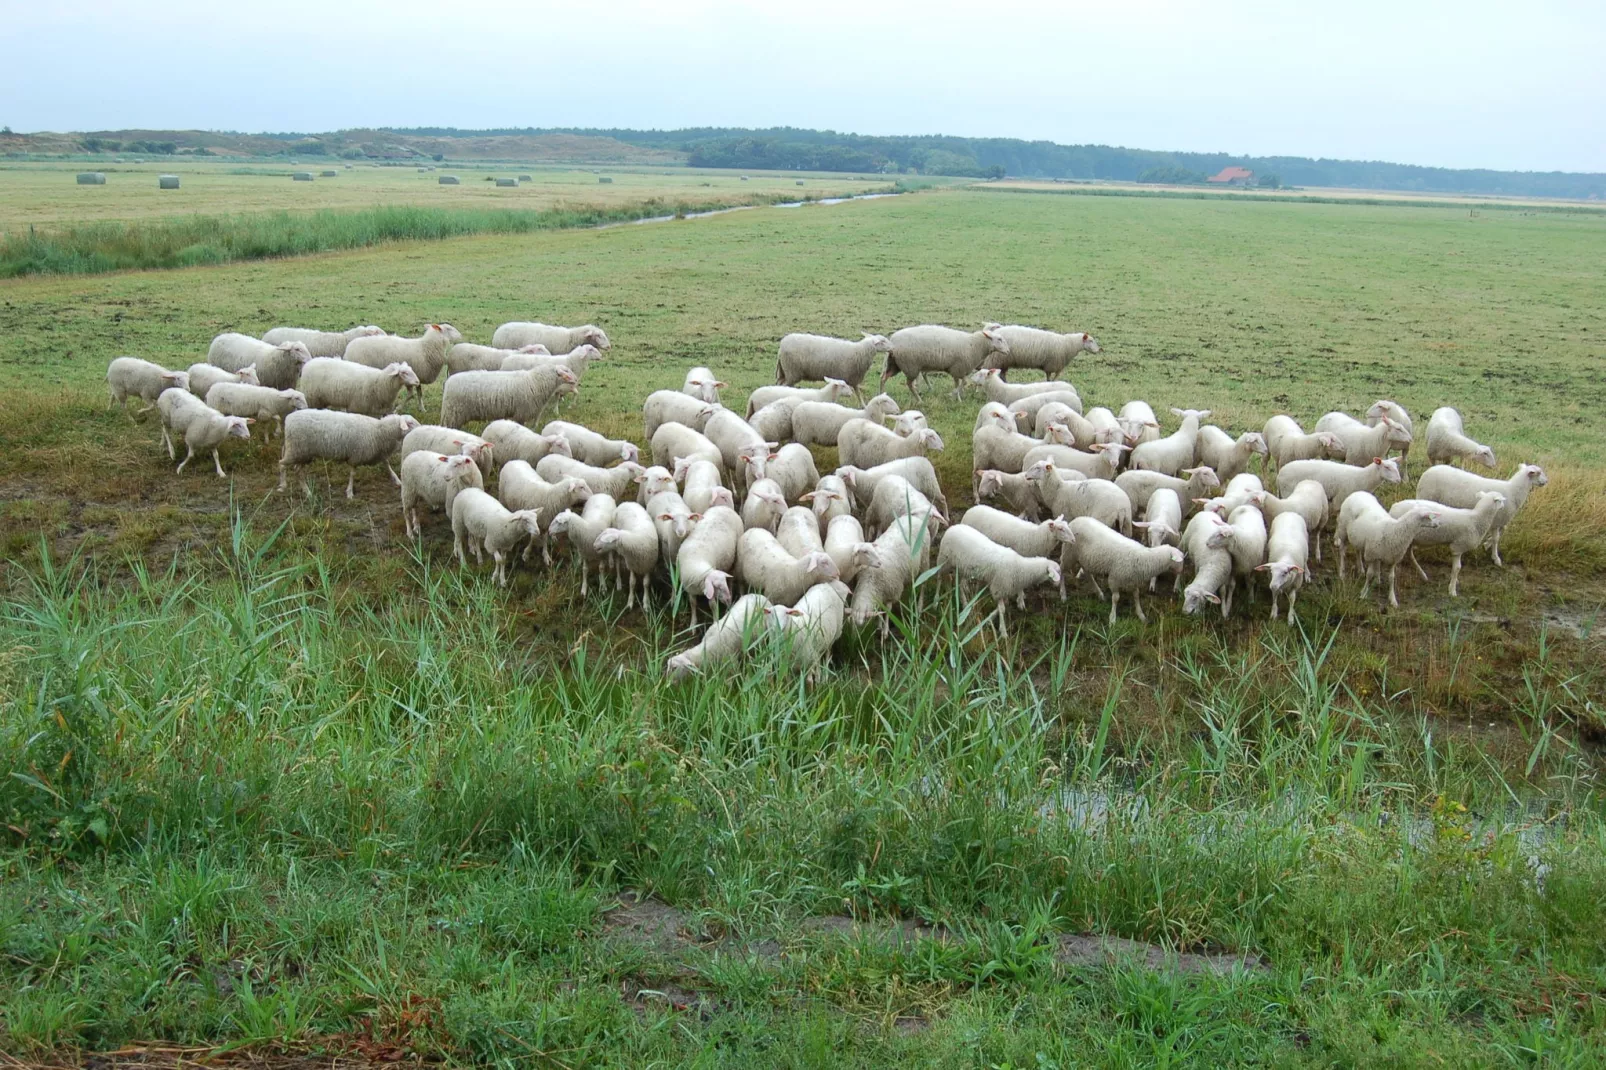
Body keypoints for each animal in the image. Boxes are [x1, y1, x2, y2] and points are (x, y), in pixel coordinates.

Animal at [281, 408, 420, 494]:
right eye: (410, 423)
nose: (422, 427)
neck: (379, 431)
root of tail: (288, 418)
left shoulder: (378, 452)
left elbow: (387, 465)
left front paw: (397, 480)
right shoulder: (356, 455)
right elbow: (353, 474)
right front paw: (349, 492)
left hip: (302, 453)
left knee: (296, 470)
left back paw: (306, 491)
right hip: (296, 450)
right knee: (283, 464)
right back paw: (285, 486)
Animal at [443, 364, 581, 427]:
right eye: (566, 371)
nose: (576, 380)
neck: (535, 382)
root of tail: (449, 382)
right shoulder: (521, 413)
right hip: (453, 414)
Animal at [1271, 456, 1400, 501]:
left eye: (1396, 466)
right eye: (1387, 467)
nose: (1399, 480)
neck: (1362, 477)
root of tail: (1279, 475)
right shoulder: (1340, 498)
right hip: (1287, 491)